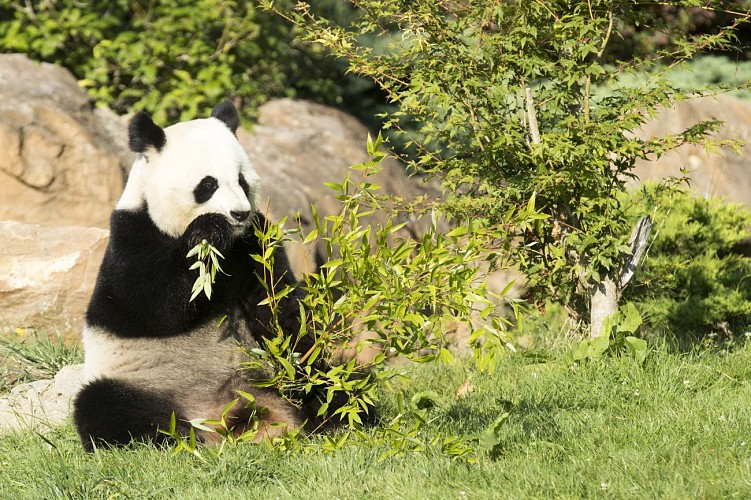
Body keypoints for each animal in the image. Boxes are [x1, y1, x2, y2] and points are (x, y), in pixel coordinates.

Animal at [73, 101, 363, 451]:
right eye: (208, 185)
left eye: (241, 181)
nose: (238, 213)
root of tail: (221, 419)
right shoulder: (133, 235)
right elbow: (153, 305)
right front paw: (207, 235)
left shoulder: (257, 242)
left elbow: (277, 307)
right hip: (141, 382)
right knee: (105, 407)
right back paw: (170, 438)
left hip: (265, 376)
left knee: (336, 382)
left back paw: (341, 416)